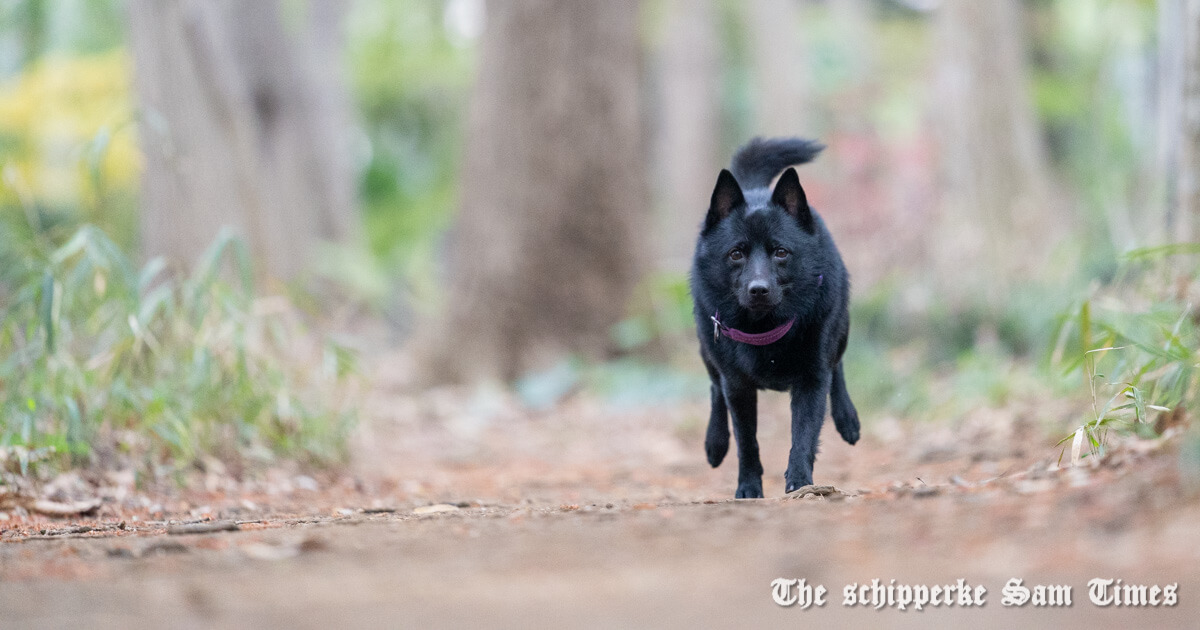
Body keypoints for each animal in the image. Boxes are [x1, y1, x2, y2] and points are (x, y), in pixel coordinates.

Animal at [691, 136, 859, 496]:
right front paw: (748, 487)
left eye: (781, 252)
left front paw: (800, 482)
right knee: (714, 389)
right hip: (708, 350)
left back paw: (847, 419)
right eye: (736, 253)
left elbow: (804, 435)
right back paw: (715, 444)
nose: (759, 290)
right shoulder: (737, 386)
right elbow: (747, 441)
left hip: (840, 333)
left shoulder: (812, 379)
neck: (764, 330)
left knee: (837, 367)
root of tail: (755, 189)